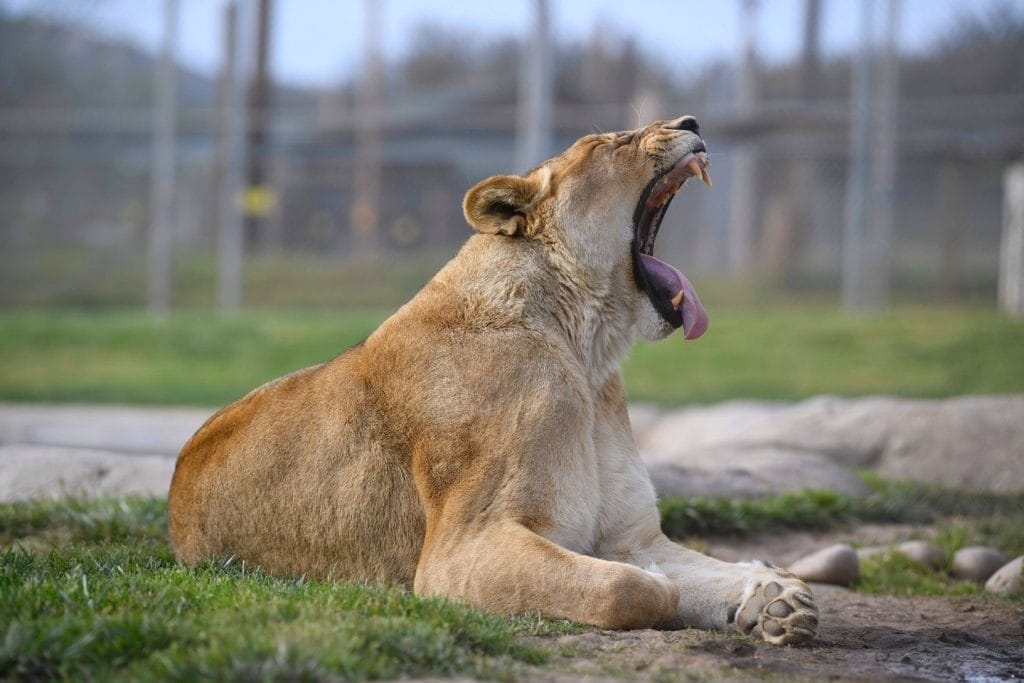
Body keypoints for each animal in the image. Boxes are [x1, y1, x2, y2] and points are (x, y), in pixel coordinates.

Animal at [168, 116, 818, 645]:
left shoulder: (629, 535)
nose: (690, 121)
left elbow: (704, 570)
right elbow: (631, 588)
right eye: (613, 143)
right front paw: (699, 587)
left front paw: (773, 598)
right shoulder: (459, 552)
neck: (587, 355)